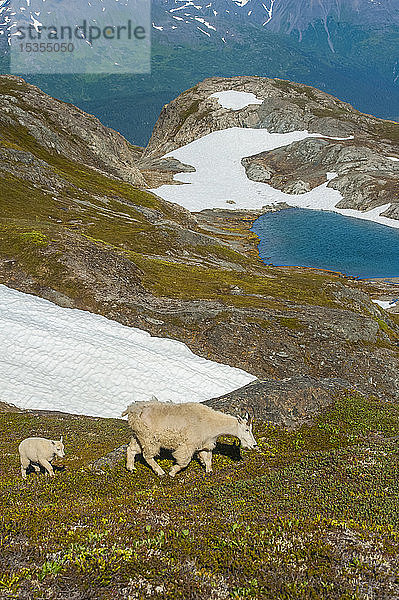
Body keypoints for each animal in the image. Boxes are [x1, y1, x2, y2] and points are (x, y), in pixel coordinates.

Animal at [122, 398, 258, 478]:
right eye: (247, 429)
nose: (254, 445)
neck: (210, 422)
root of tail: (134, 410)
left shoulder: (205, 445)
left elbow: (208, 459)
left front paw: (209, 471)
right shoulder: (188, 445)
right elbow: (184, 462)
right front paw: (172, 472)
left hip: (139, 436)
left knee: (132, 449)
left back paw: (131, 467)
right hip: (150, 438)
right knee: (147, 455)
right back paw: (160, 472)